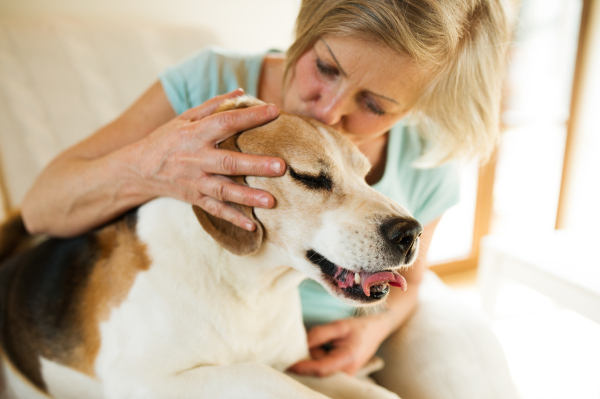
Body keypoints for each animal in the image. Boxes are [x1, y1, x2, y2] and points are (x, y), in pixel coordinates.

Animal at [0, 97, 422, 399]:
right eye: (310, 177)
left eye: (366, 176)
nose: (411, 233)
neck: (251, 288)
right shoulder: (146, 380)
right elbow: (260, 374)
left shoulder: (296, 365)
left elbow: (380, 394)